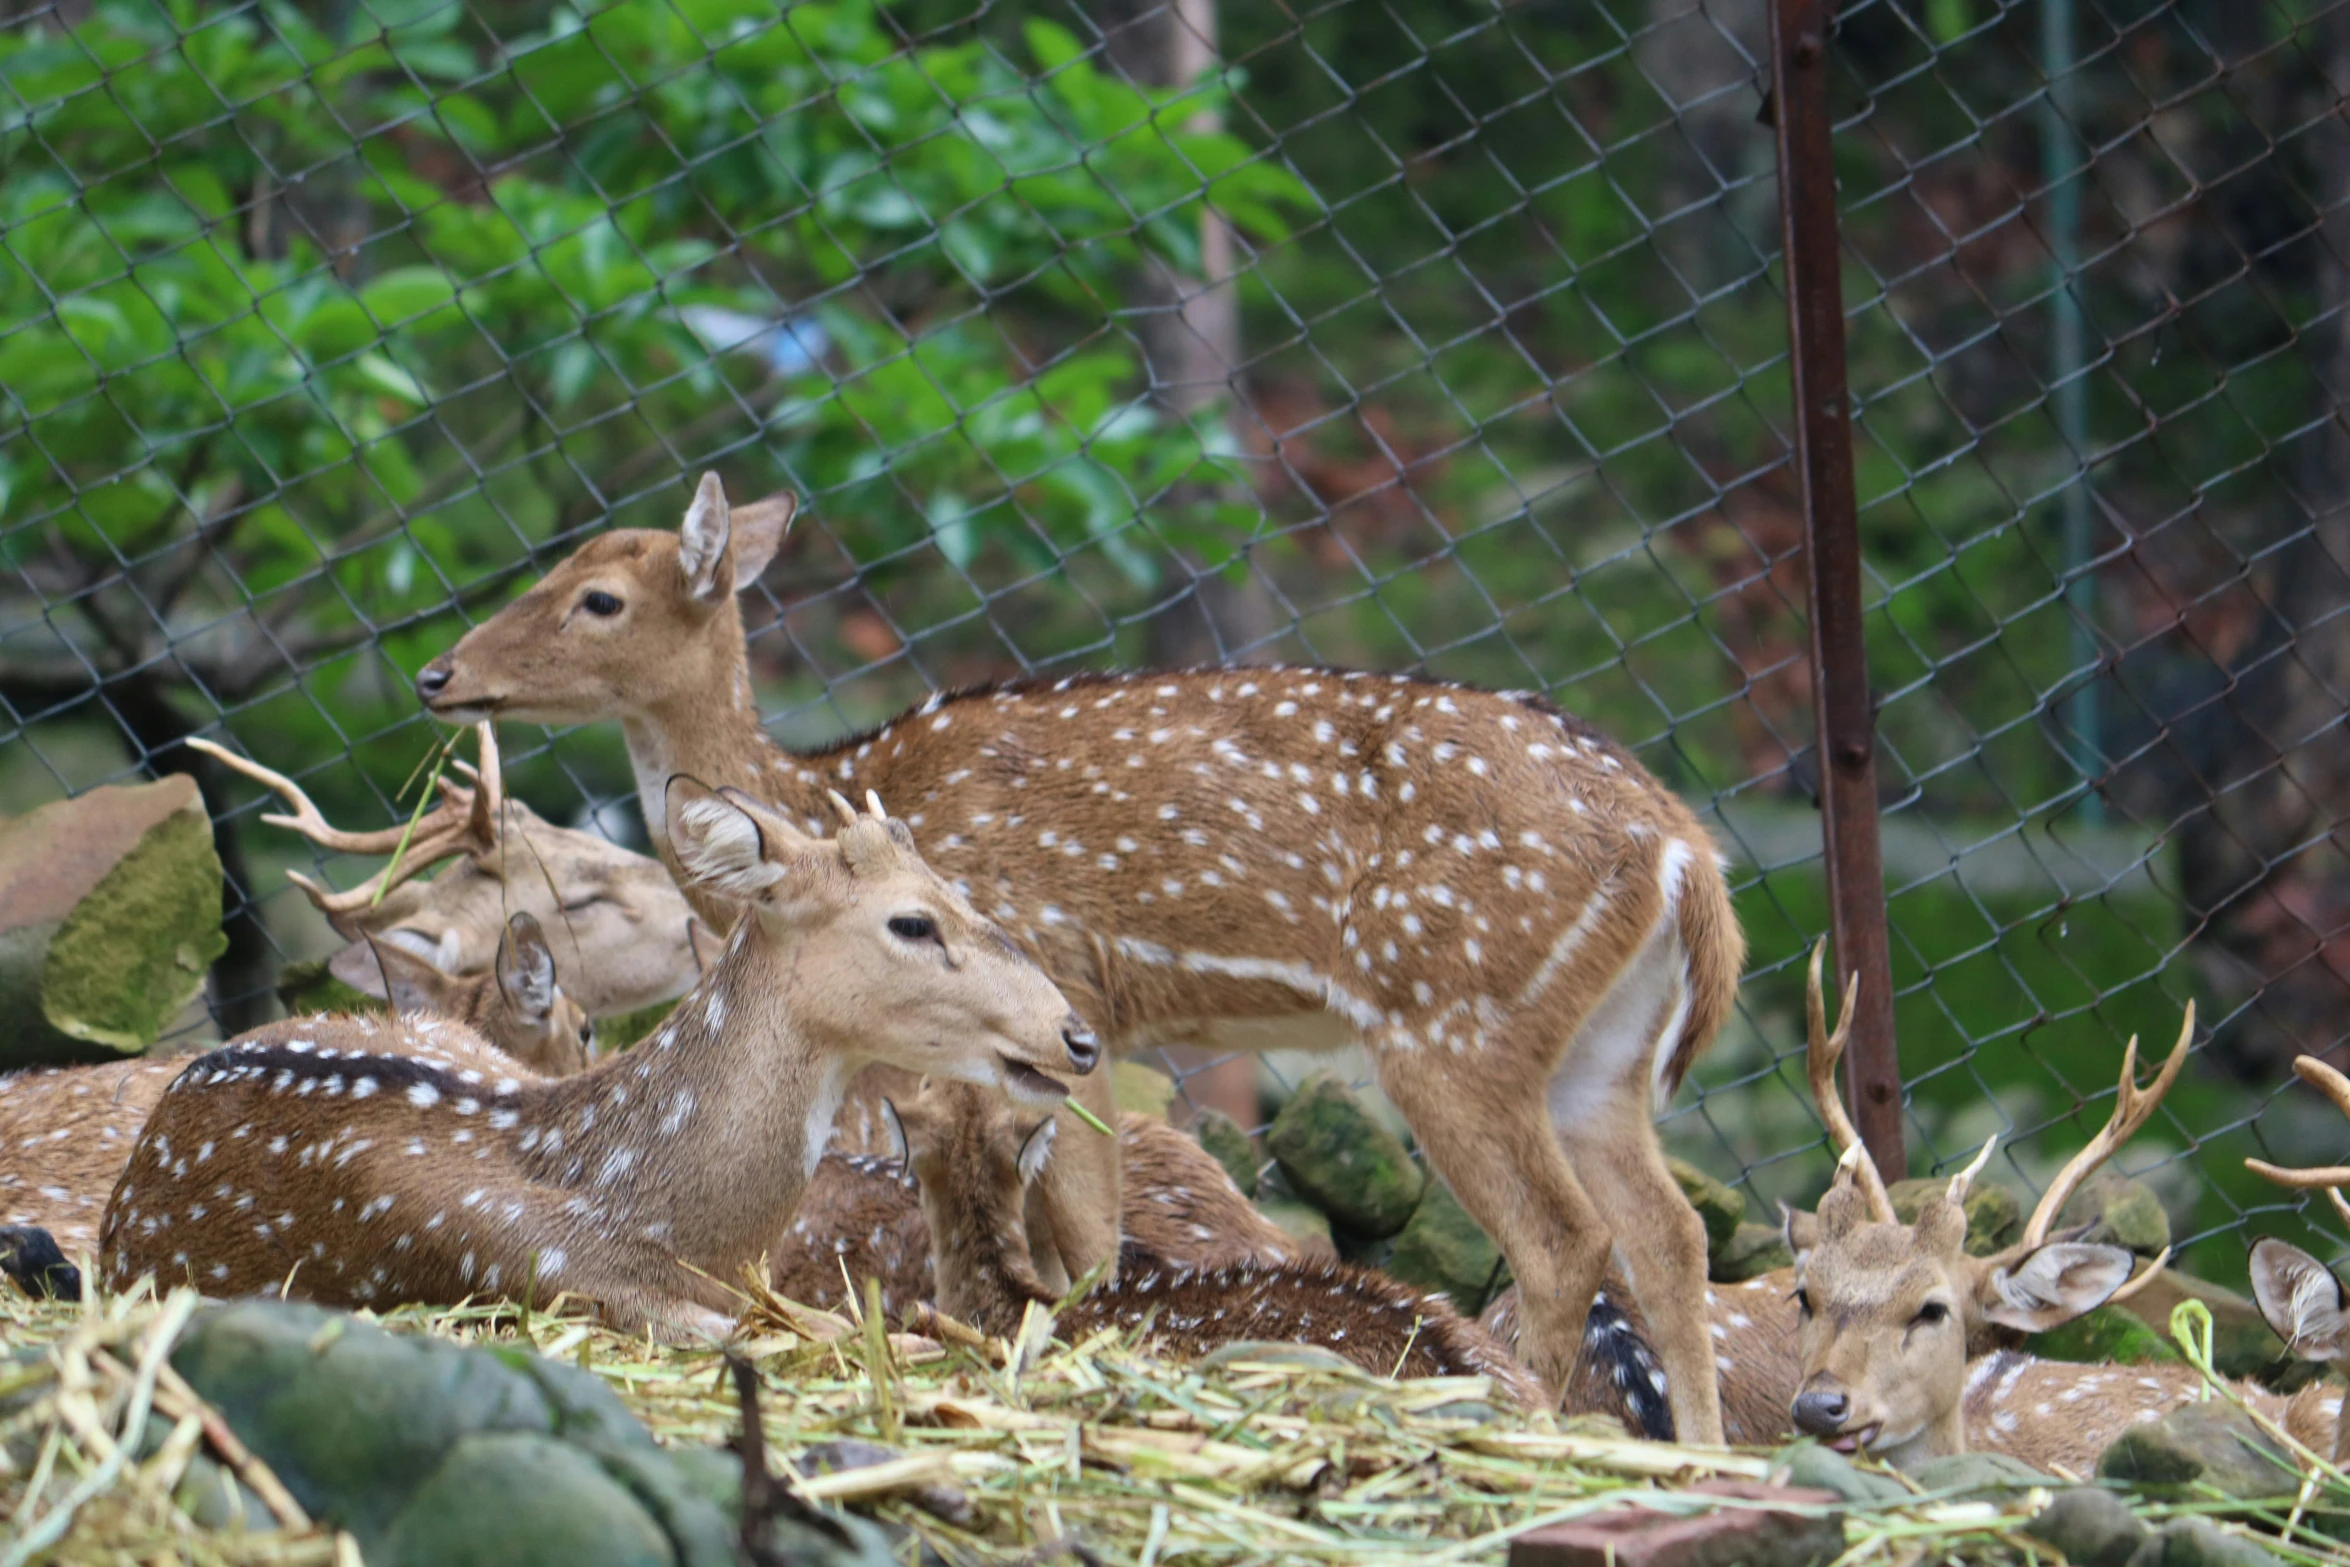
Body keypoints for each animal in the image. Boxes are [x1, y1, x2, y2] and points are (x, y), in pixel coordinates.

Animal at [413, 472, 1757, 1437]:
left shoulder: (1067, 997)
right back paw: (1697, 1455)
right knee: (1671, 1234)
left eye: (599, 598)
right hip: (1597, 1053)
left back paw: (1532, 1425)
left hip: (1452, 1019)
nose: (437, 673)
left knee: (1565, 1240)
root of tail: (1687, 857)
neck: (829, 789)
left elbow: (1093, 1239)